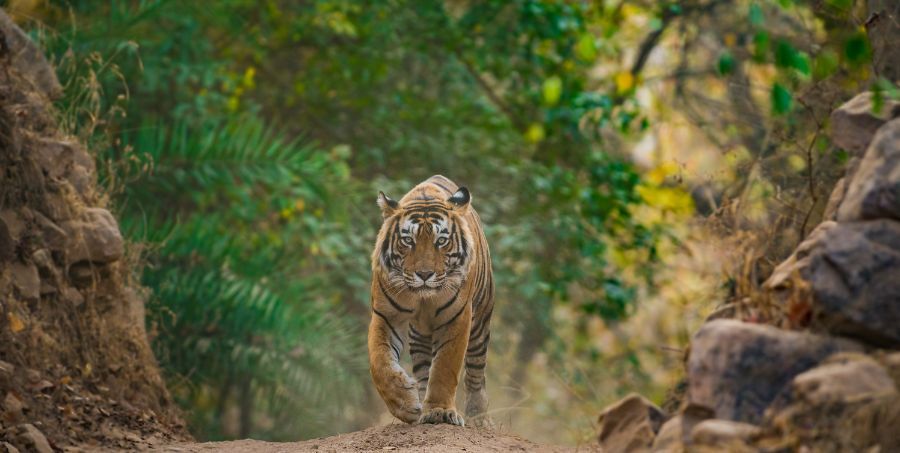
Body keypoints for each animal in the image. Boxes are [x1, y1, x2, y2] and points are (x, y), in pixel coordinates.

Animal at [368, 175, 494, 427]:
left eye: (441, 241)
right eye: (408, 240)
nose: (424, 274)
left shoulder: (457, 317)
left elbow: (445, 366)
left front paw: (440, 412)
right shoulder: (385, 315)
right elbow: (380, 362)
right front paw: (406, 404)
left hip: (480, 322)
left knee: (476, 372)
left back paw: (480, 418)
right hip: (419, 333)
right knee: (423, 368)